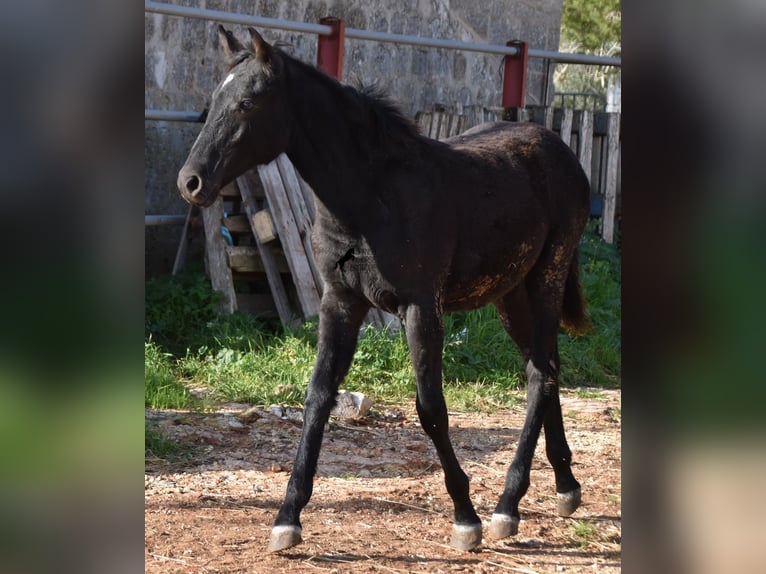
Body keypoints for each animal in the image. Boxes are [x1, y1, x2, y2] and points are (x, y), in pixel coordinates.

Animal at [177, 27, 592, 552]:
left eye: (247, 102)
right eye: (214, 100)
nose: (190, 182)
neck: (372, 197)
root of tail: (563, 152)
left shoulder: (421, 308)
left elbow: (430, 407)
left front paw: (465, 517)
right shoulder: (340, 302)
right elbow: (318, 398)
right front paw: (287, 518)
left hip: (546, 278)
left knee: (540, 375)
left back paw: (506, 506)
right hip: (510, 294)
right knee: (548, 368)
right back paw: (564, 488)